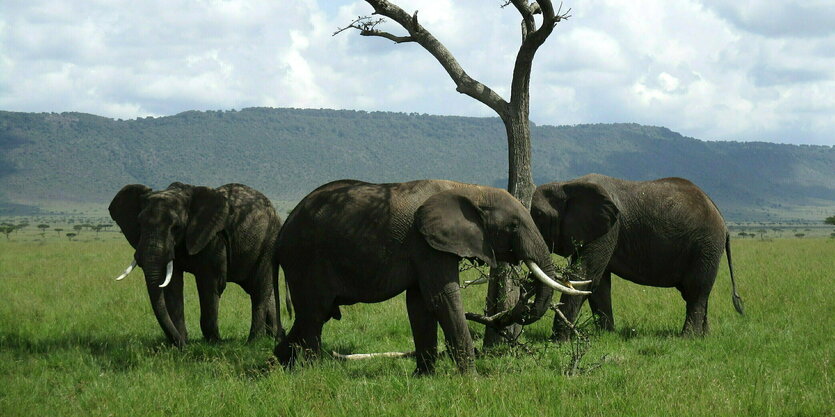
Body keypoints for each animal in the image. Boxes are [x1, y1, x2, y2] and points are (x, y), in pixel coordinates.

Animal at [109, 180, 284, 346]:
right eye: (139, 224)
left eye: (176, 227)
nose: (182, 344)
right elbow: (173, 285)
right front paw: (180, 343)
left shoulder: (213, 238)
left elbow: (210, 283)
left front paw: (214, 343)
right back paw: (274, 338)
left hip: (269, 241)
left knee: (259, 290)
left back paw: (253, 342)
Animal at [272, 179, 588, 374]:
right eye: (512, 226)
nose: (524, 306)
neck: (469, 189)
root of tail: (282, 229)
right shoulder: (426, 242)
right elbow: (442, 298)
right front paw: (471, 379)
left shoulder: (425, 247)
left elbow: (420, 304)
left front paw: (424, 377)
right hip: (305, 259)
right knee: (314, 313)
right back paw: (313, 371)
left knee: (311, 315)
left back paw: (277, 365)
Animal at [528, 172, 744, 338]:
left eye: (538, 215)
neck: (566, 184)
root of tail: (722, 220)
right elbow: (598, 284)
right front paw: (607, 336)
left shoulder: (609, 229)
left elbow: (585, 275)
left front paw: (559, 340)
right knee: (695, 293)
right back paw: (703, 337)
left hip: (706, 244)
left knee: (696, 290)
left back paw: (687, 338)